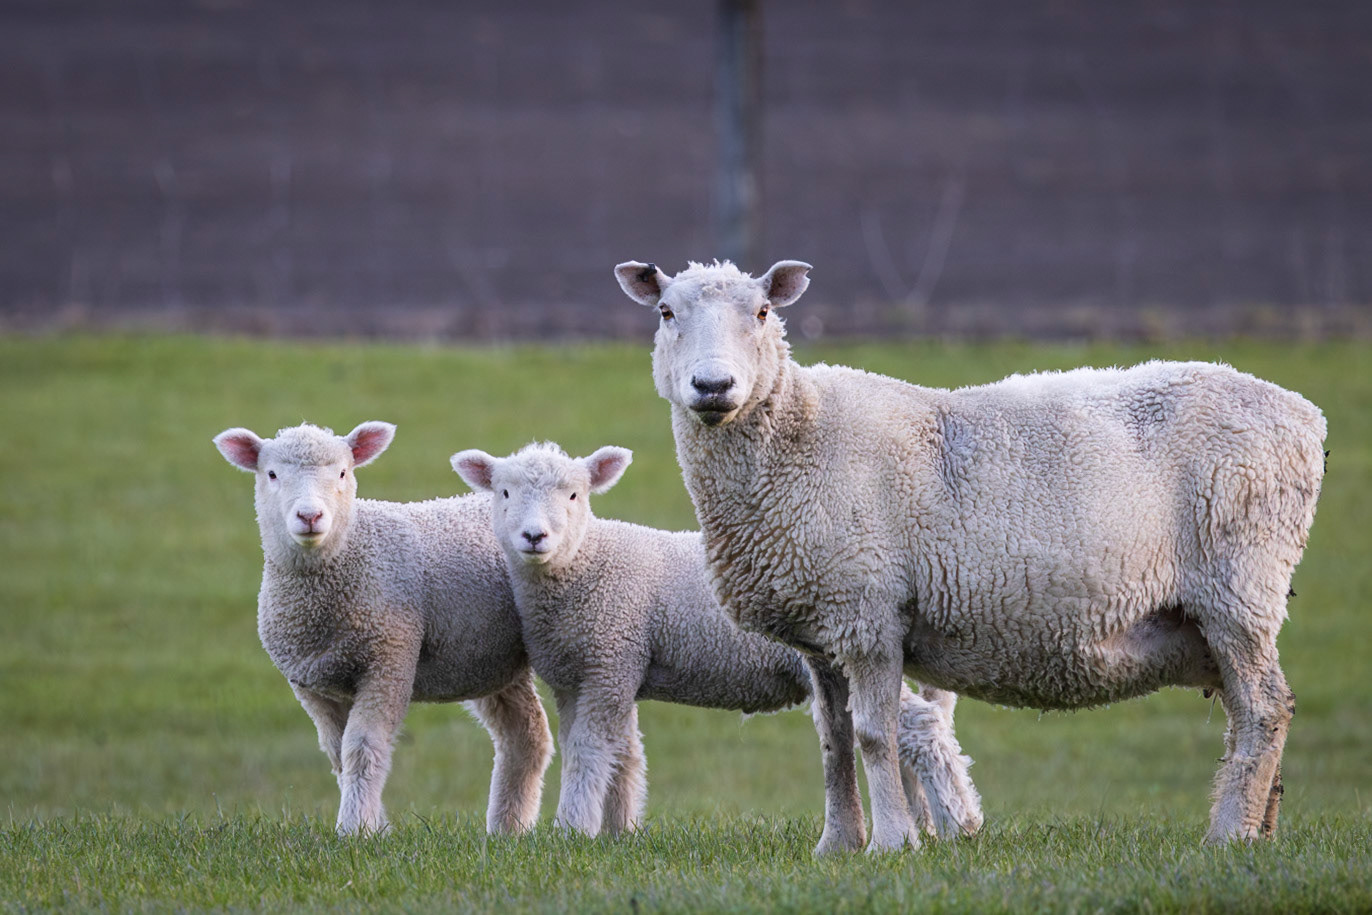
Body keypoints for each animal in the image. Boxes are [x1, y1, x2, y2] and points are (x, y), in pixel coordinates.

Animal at [213, 421, 553, 836]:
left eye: (343, 473)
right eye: (272, 474)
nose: (310, 516)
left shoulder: (388, 660)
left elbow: (361, 748)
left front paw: (355, 829)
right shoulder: (312, 685)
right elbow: (338, 754)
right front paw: (373, 826)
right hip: (488, 659)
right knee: (526, 737)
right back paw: (509, 828)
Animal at [450, 441, 982, 844]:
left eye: (576, 495)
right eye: (503, 492)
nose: (534, 536)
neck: (585, 563)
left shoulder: (609, 661)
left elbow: (589, 750)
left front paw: (573, 830)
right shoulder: (584, 675)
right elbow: (619, 751)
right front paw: (619, 832)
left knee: (920, 726)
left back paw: (962, 823)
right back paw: (926, 827)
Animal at [615, 258, 1326, 852]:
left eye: (762, 312)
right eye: (666, 313)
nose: (713, 385)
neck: (801, 437)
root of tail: (1305, 416)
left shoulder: (868, 613)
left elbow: (874, 735)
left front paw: (893, 843)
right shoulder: (819, 629)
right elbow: (833, 740)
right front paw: (836, 846)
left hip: (1238, 583)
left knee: (1264, 709)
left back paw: (1227, 837)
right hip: (1214, 612)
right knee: (1257, 710)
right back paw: (1260, 834)